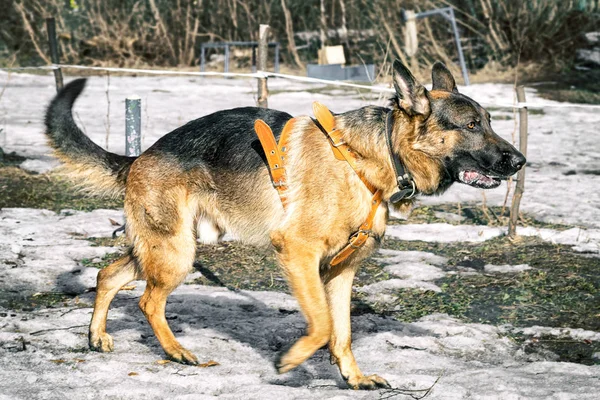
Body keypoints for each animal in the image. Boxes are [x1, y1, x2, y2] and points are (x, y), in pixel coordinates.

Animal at [45, 61, 524, 390]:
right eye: (471, 125)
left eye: (490, 122)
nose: (521, 162)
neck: (371, 156)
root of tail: (139, 156)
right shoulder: (300, 254)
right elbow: (324, 325)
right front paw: (291, 361)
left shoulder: (341, 272)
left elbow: (343, 333)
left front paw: (353, 379)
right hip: (177, 253)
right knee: (148, 301)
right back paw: (177, 350)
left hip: (167, 247)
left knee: (108, 274)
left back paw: (97, 337)